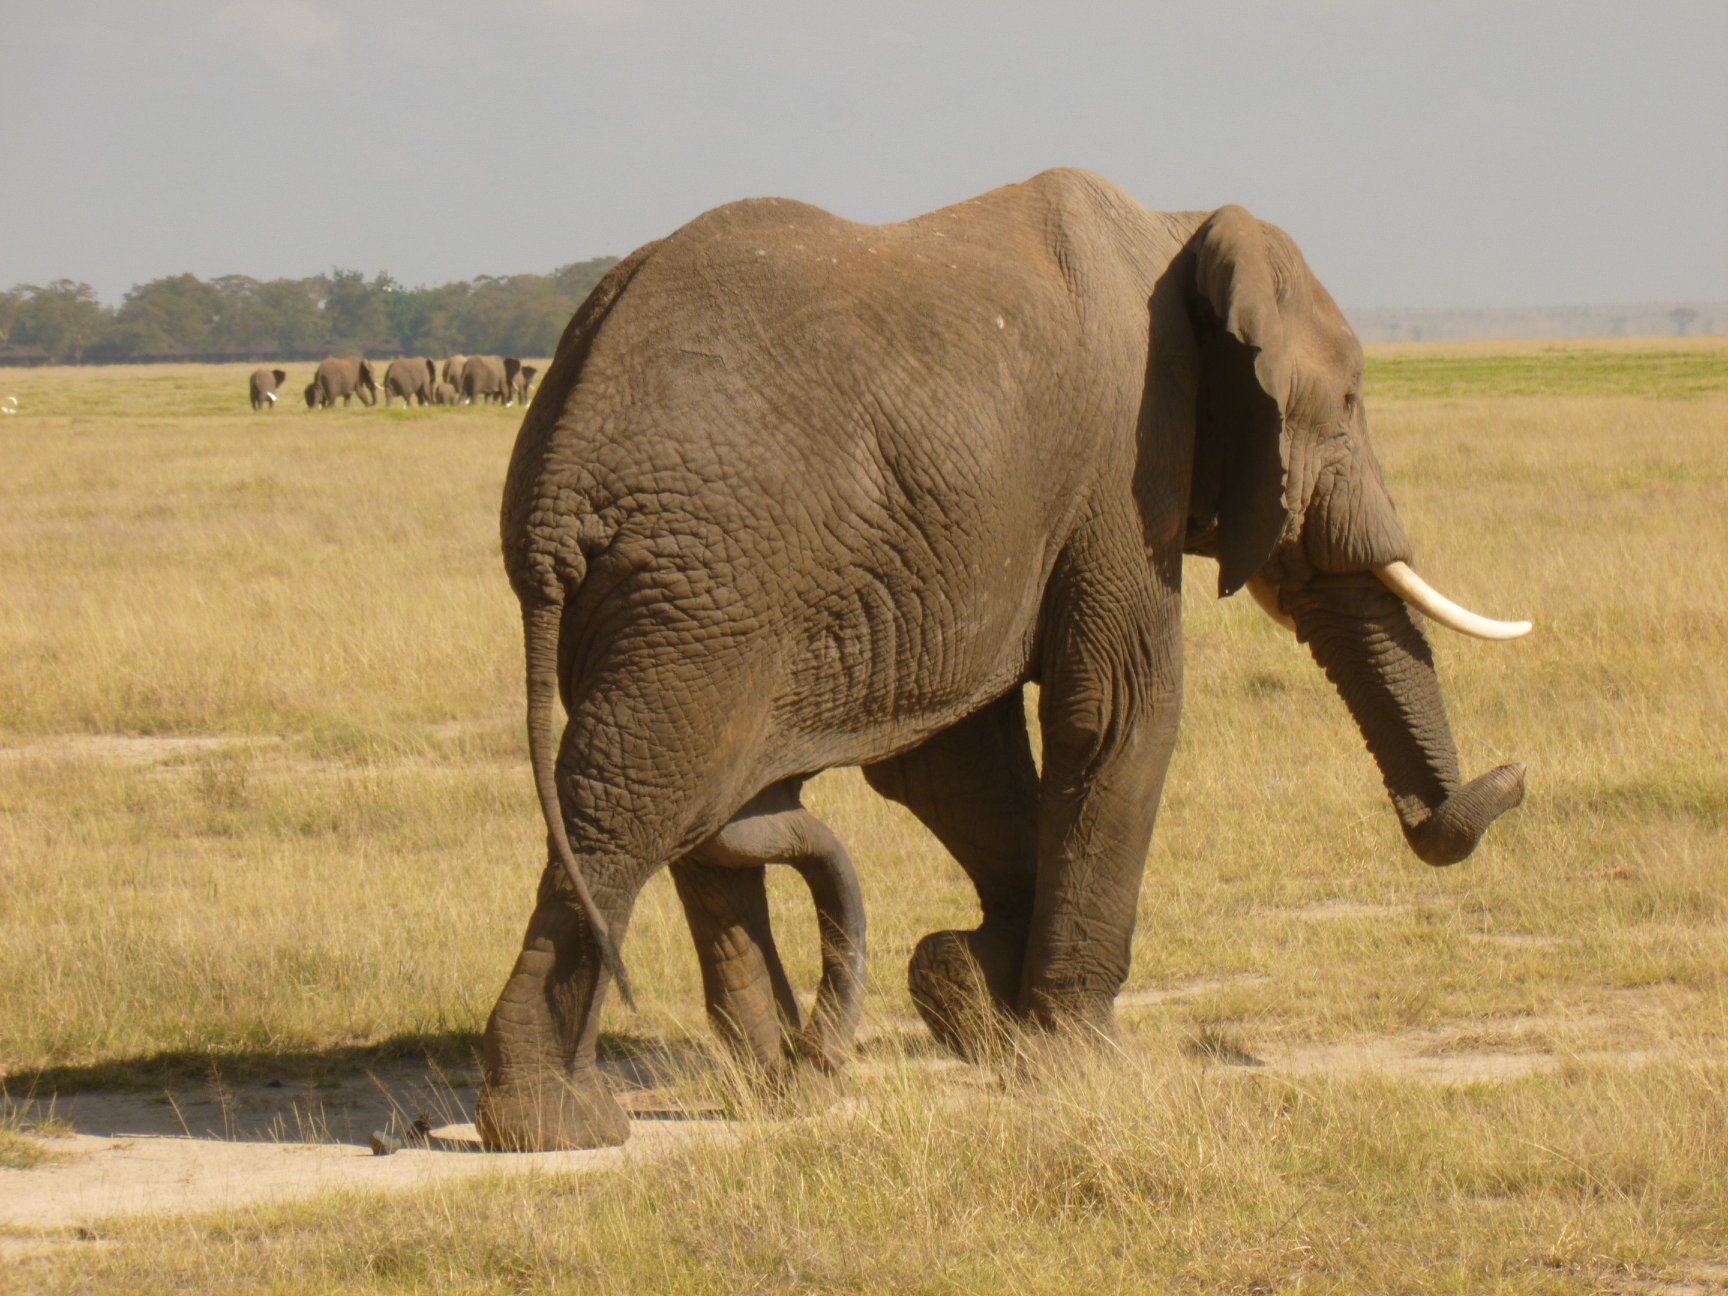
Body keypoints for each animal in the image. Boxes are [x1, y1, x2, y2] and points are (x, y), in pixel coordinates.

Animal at [483, 167, 1527, 1154]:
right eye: (1346, 404)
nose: (1510, 776)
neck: (1175, 229)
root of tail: (560, 473)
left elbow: (950, 764)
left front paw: (969, 993)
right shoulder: (1123, 466)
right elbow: (1120, 712)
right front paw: (1083, 1062)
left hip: (682, 600)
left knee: (695, 819)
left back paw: (785, 1092)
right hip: (708, 580)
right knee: (629, 808)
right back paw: (561, 1127)